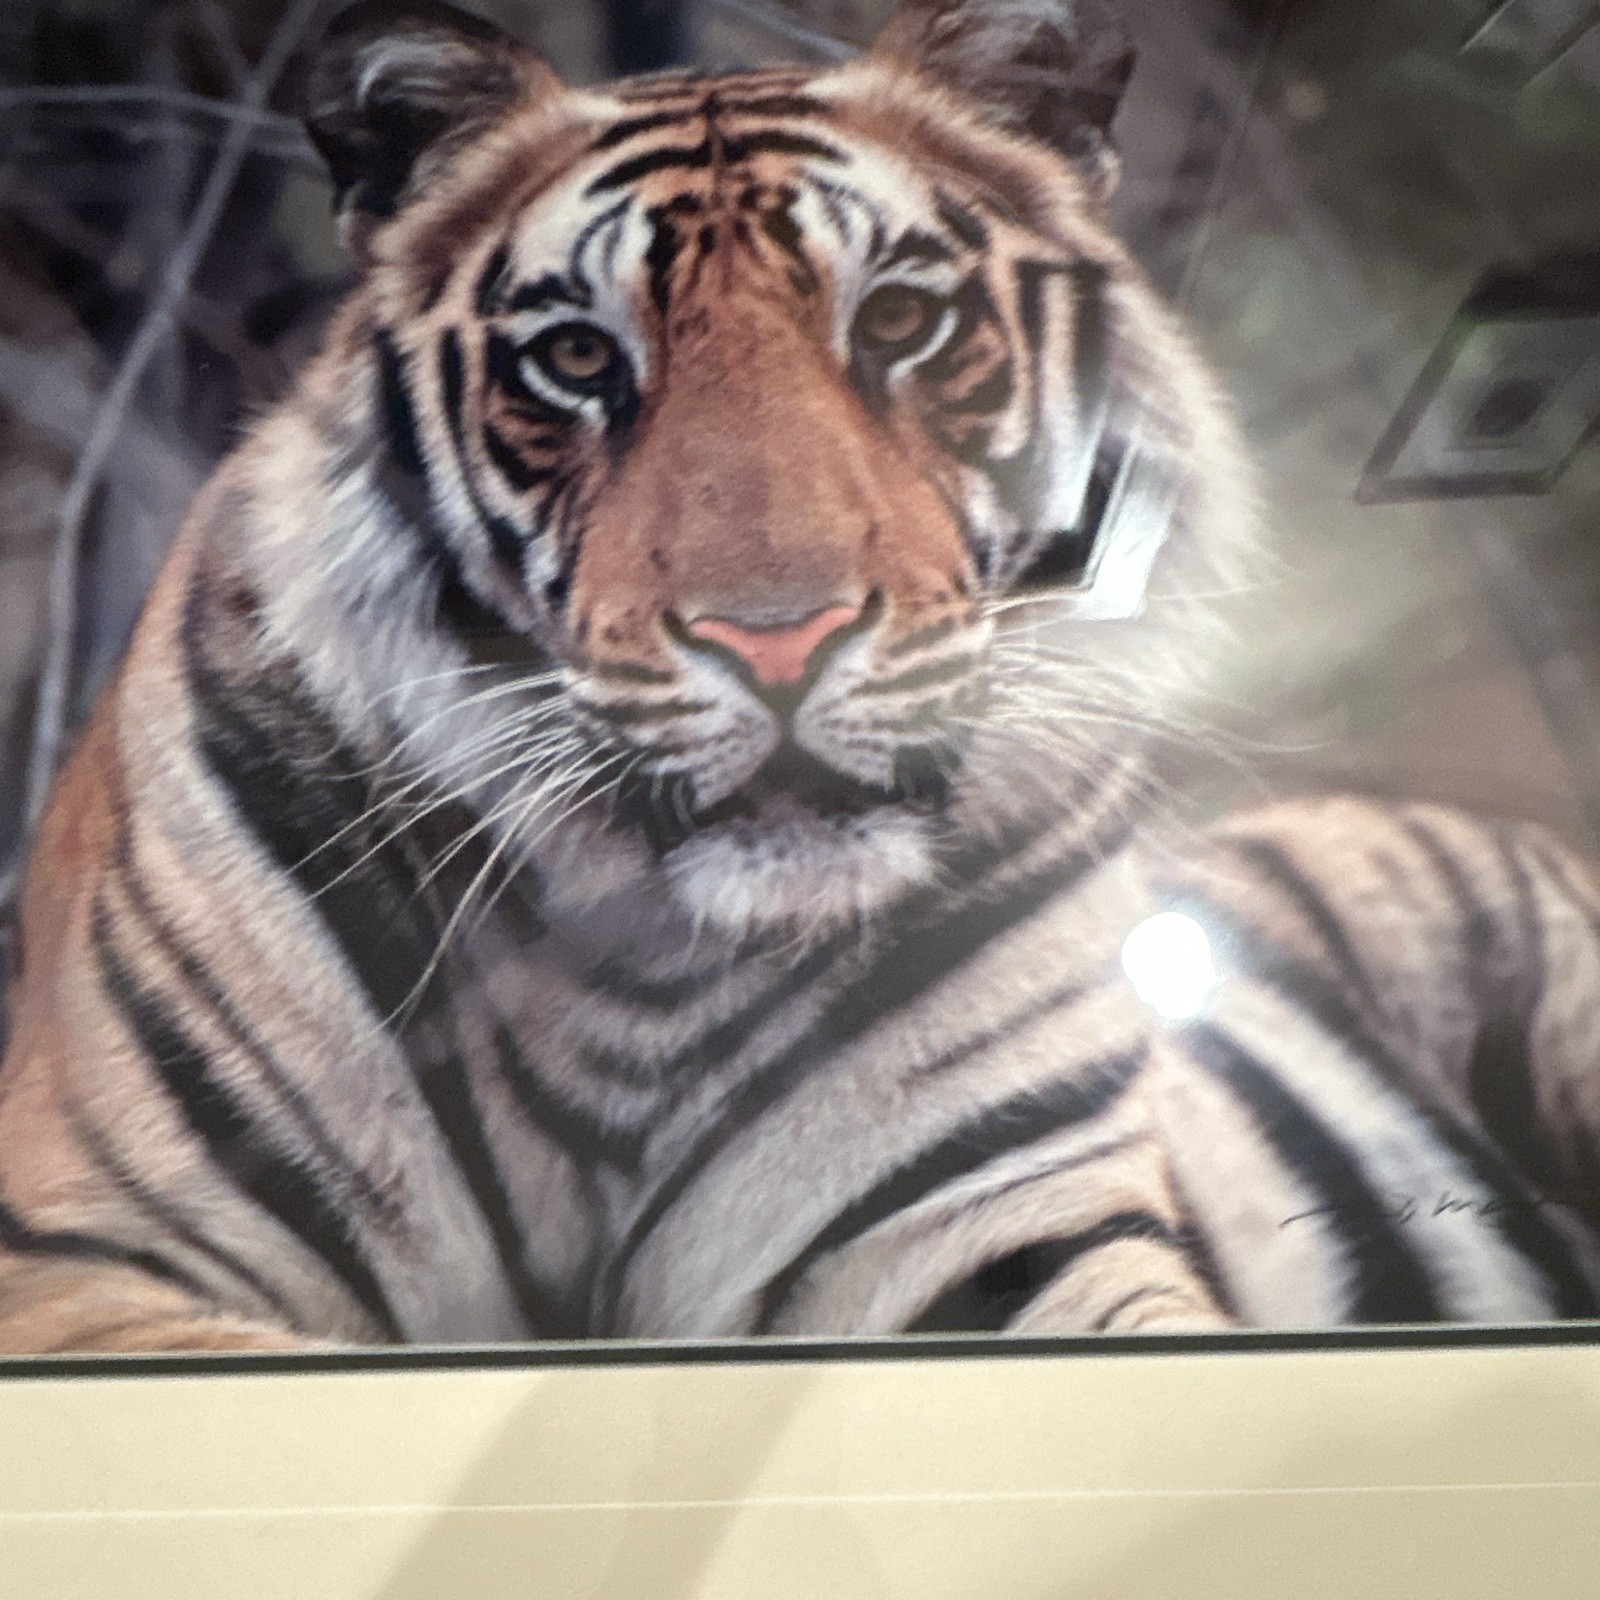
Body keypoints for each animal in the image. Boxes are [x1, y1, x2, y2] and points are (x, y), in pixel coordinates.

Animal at [3, 0, 1600, 1355]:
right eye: (577, 358)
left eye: (897, 322)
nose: (778, 637)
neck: (637, 980)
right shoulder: (91, 1256)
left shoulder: (997, 1233)